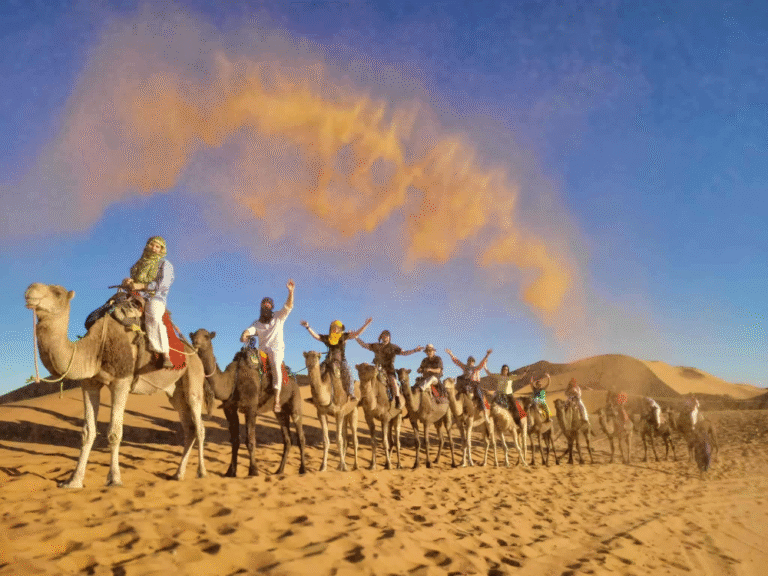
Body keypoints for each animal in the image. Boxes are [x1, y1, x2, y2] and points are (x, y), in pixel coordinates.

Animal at [24, 283, 206, 488]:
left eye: (57, 293)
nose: (30, 290)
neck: (96, 347)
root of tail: (193, 352)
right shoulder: (90, 384)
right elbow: (87, 432)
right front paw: (74, 481)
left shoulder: (121, 381)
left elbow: (114, 433)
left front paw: (114, 479)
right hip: (175, 394)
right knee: (189, 428)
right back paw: (178, 474)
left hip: (194, 379)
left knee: (199, 427)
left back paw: (201, 472)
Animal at [190, 329, 306, 476]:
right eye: (193, 336)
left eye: (206, 336)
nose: (195, 342)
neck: (232, 380)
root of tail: (293, 379)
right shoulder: (229, 409)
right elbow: (235, 441)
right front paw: (230, 472)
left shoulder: (251, 408)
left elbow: (250, 441)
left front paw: (253, 471)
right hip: (280, 412)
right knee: (287, 440)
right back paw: (279, 471)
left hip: (295, 402)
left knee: (300, 436)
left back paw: (303, 469)